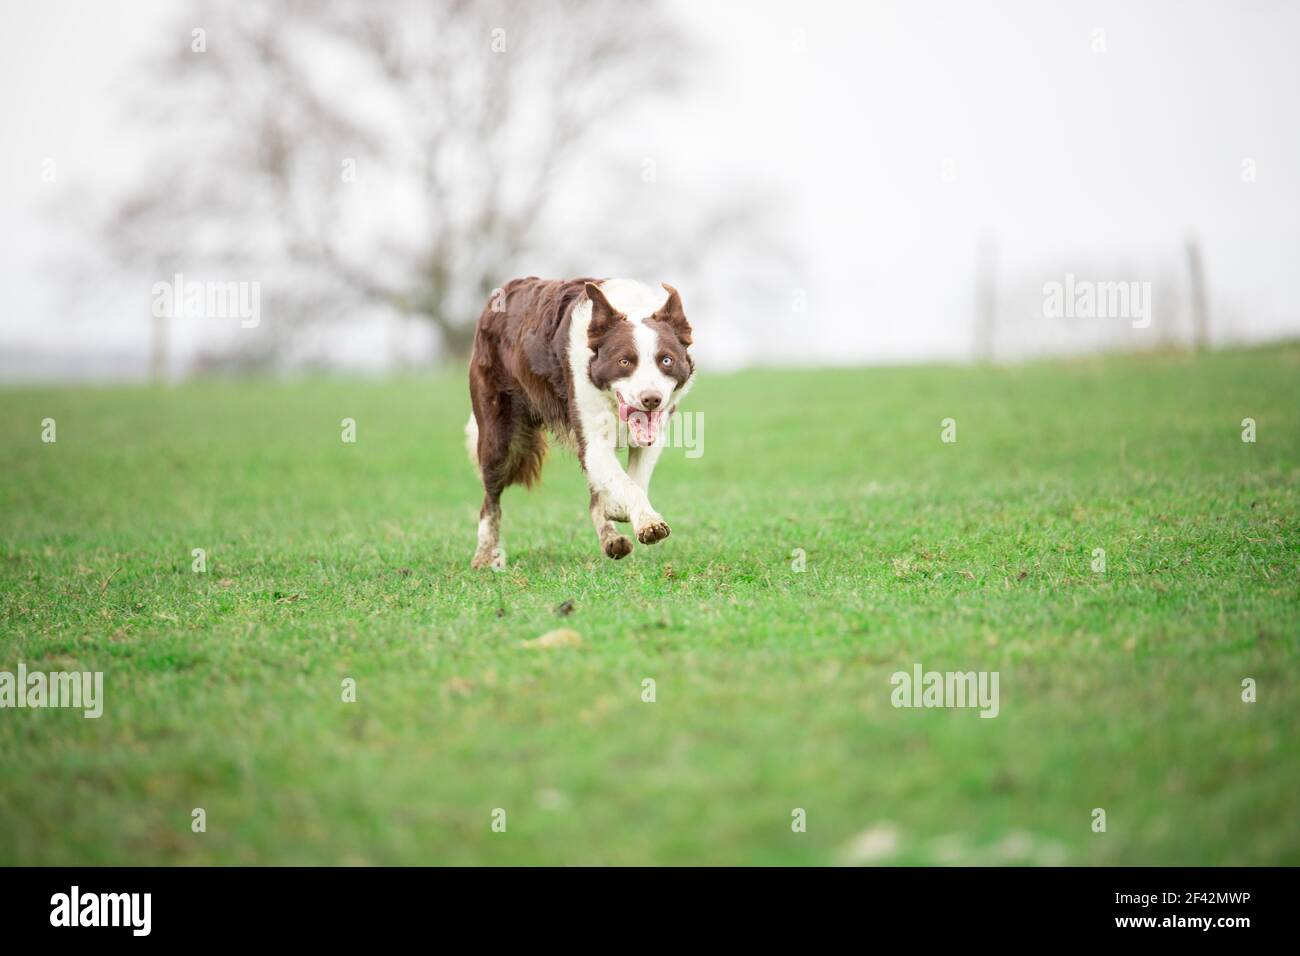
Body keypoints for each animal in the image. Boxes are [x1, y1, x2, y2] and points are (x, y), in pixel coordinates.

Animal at [465, 277, 691, 567]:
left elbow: (634, 479)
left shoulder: (654, 434)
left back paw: (611, 539)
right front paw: (648, 523)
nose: (651, 399)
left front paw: (619, 509)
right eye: (624, 361)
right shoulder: (592, 439)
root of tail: (503, 290)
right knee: (490, 498)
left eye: (666, 360)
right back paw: (484, 555)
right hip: (499, 436)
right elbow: (625, 482)